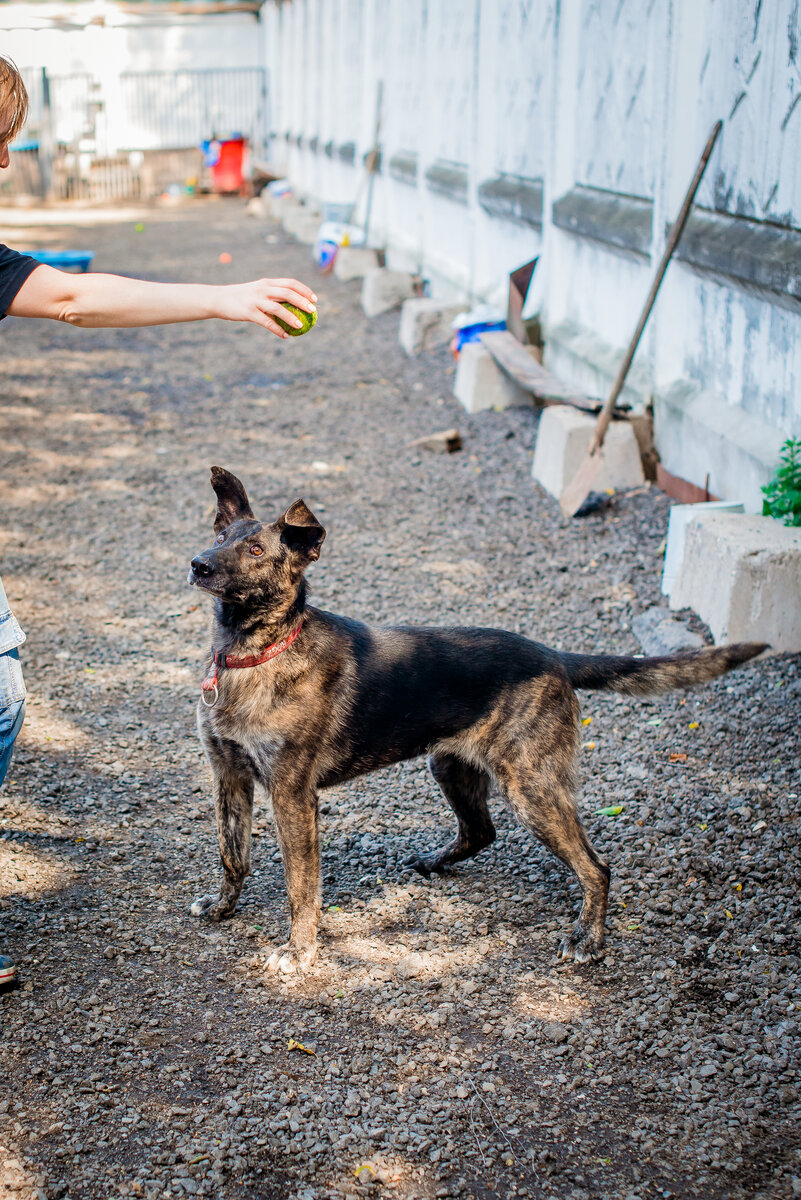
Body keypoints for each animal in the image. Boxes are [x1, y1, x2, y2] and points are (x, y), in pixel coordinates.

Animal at [189, 463, 767, 969]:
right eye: (220, 537)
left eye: (256, 550)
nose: (198, 563)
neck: (254, 652)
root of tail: (554, 656)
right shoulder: (230, 778)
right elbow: (231, 855)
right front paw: (222, 907)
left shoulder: (293, 796)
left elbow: (301, 887)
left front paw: (299, 951)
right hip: (451, 766)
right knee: (481, 832)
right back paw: (434, 862)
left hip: (532, 788)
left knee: (597, 867)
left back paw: (588, 939)